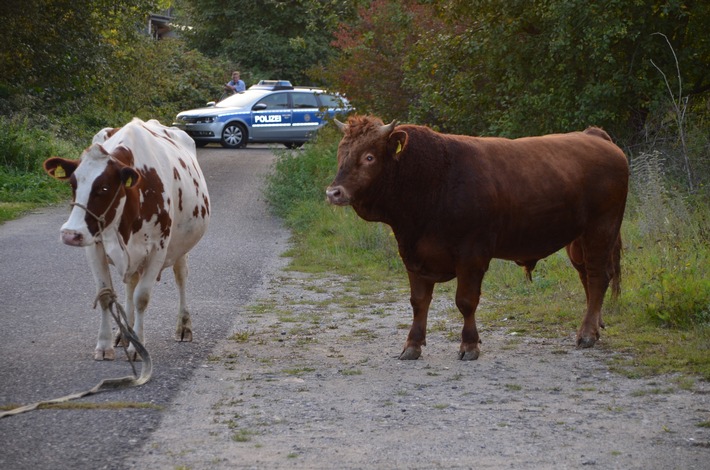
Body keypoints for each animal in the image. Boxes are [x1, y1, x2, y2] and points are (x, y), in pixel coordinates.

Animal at [44, 117, 210, 360]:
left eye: (104, 188)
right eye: (73, 184)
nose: (70, 234)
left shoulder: (158, 249)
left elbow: (142, 298)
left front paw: (137, 347)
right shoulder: (94, 247)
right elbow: (106, 296)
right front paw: (105, 345)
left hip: (181, 247)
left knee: (180, 277)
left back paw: (183, 327)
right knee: (130, 284)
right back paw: (123, 334)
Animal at [326, 115, 628, 358]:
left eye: (369, 157)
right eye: (342, 153)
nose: (334, 192)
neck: (434, 180)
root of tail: (593, 135)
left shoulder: (472, 254)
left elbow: (466, 301)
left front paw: (469, 345)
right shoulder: (413, 254)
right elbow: (418, 302)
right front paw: (412, 345)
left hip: (602, 228)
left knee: (598, 276)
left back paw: (586, 334)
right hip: (578, 239)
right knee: (587, 276)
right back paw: (595, 325)